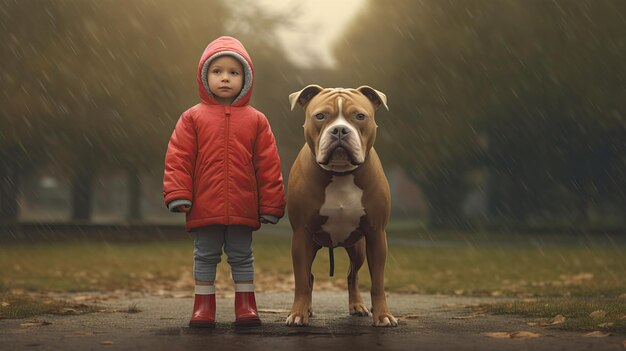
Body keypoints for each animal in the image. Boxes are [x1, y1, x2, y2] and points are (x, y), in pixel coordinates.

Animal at [284, 84, 394, 328]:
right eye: (320, 116)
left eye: (360, 116)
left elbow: (378, 282)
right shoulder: (301, 234)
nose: (340, 130)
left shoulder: (376, 234)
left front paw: (382, 315)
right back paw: (308, 308)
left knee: (352, 275)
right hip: (311, 244)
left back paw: (358, 306)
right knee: (309, 276)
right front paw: (298, 314)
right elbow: (301, 281)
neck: (341, 173)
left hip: (357, 248)